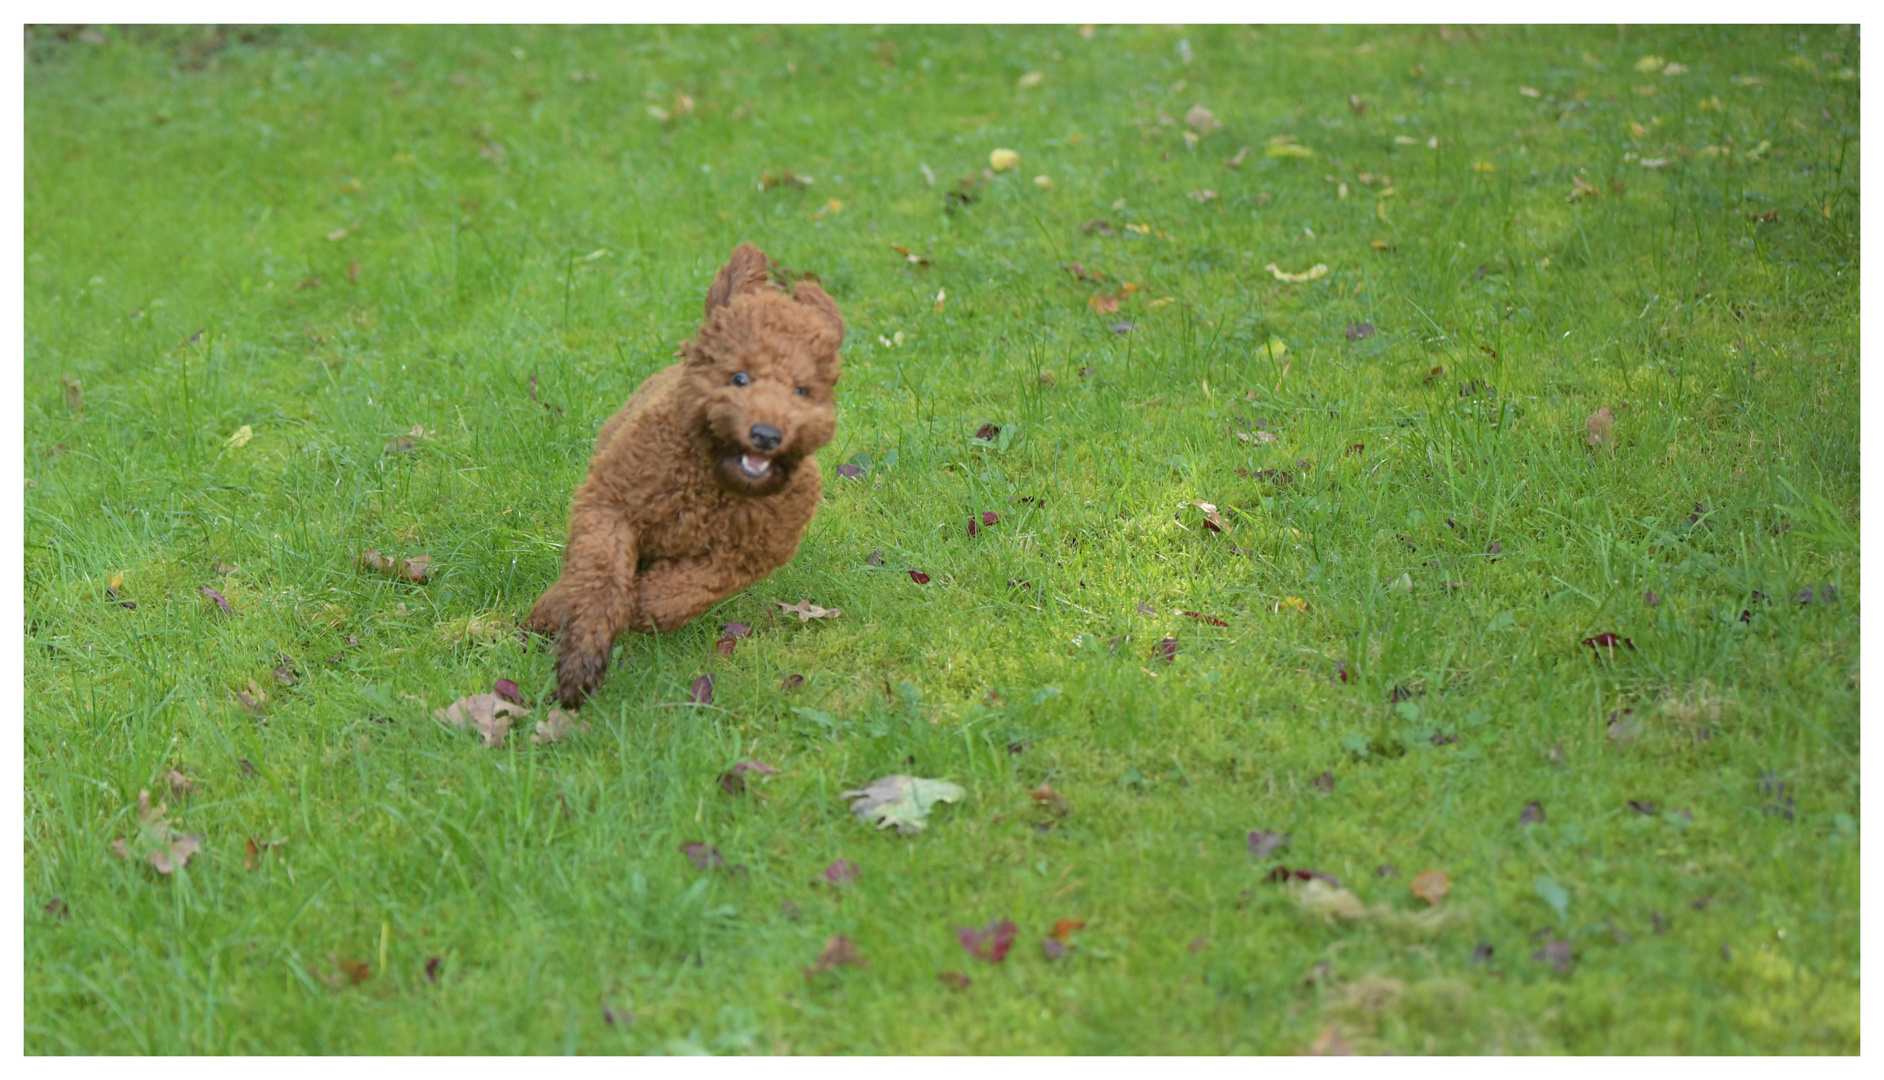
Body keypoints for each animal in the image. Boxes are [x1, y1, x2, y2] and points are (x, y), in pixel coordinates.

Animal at [538, 240, 847, 704]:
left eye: (801, 390)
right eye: (740, 377)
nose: (767, 435)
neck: (712, 481)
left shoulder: (745, 556)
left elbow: (679, 594)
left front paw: (640, 605)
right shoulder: (610, 505)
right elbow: (600, 581)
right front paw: (581, 661)